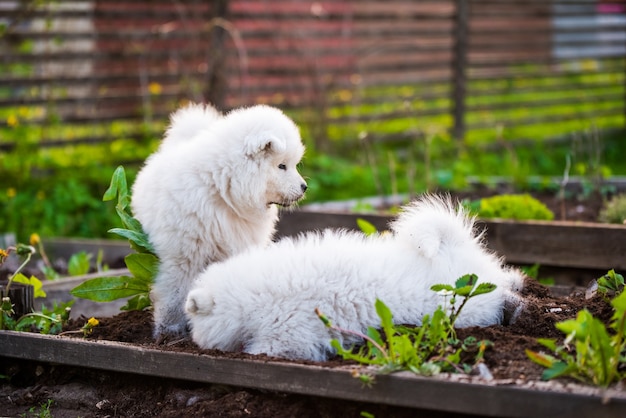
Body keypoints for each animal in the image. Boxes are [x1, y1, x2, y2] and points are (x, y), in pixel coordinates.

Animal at [132, 103, 308, 342]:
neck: (221, 190)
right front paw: (169, 330)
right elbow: (174, 295)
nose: (304, 187)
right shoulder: (184, 256)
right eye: (282, 166)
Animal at [184, 194, 520, 360]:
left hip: (465, 308)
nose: (194, 341)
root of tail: (457, 247)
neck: (248, 299)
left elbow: (266, 349)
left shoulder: (289, 334)